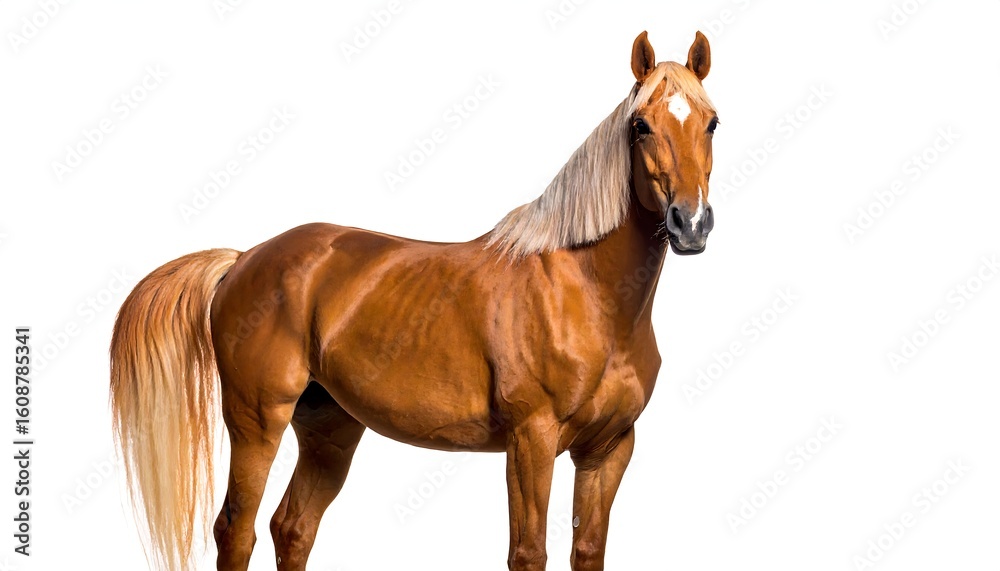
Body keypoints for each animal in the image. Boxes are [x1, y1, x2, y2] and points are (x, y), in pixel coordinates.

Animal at [110, 30, 719, 571]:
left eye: (712, 122)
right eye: (640, 125)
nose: (690, 223)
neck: (588, 295)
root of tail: (243, 258)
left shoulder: (608, 449)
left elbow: (587, 551)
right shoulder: (531, 441)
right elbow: (528, 553)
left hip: (330, 428)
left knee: (293, 527)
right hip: (257, 420)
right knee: (236, 530)